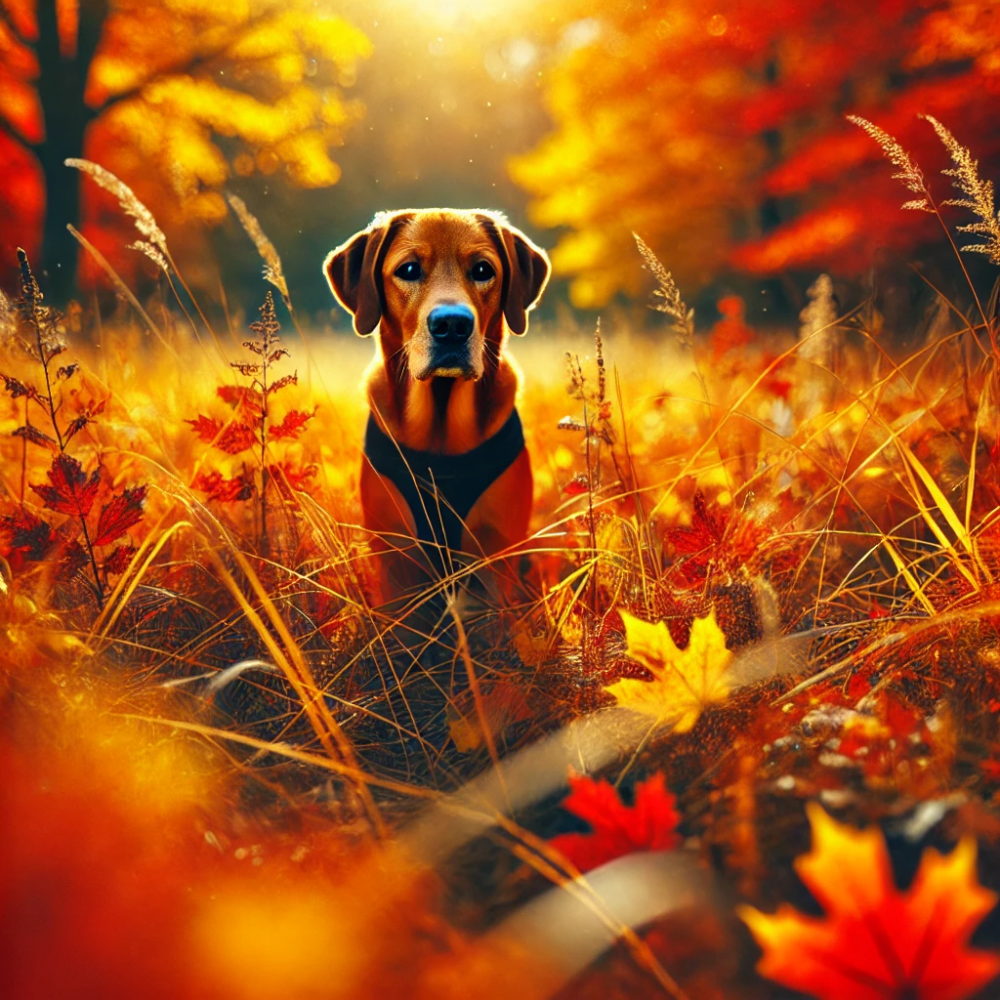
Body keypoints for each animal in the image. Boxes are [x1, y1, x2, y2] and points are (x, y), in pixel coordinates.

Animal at [324, 207, 552, 604]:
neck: (441, 429)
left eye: (483, 270)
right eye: (409, 269)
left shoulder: (496, 554)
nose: (452, 325)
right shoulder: (394, 556)